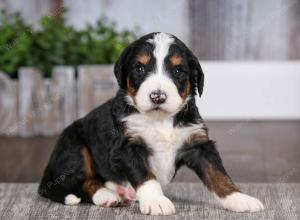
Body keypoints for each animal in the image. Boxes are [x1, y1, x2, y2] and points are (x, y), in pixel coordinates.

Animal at [38, 32, 264, 215]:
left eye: (178, 71)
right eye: (139, 68)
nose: (158, 96)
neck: (161, 120)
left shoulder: (198, 144)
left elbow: (218, 174)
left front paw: (239, 199)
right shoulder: (127, 146)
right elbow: (145, 176)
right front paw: (157, 202)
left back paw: (121, 191)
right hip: (74, 145)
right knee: (82, 181)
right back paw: (107, 196)